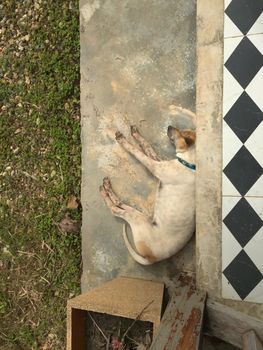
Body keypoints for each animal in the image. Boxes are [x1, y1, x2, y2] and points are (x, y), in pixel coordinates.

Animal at [100, 106, 197, 266]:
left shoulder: (155, 167)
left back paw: (105, 191)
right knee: (121, 204)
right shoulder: (158, 162)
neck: (191, 165)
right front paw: (135, 134)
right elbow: (147, 146)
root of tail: (151, 259)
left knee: (117, 210)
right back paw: (107, 188)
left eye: (180, 133)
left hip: (139, 222)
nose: (169, 127)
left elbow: (138, 153)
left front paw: (124, 142)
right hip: (143, 218)